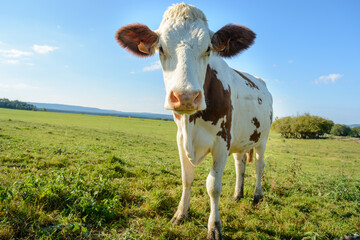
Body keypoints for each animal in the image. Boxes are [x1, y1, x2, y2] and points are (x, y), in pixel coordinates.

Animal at [115, 2, 272, 239]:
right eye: (161, 48)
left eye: (208, 48)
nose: (186, 96)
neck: (192, 123)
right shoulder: (181, 139)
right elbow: (186, 177)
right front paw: (180, 214)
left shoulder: (222, 141)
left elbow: (213, 185)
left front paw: (214, 226)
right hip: (241, 139)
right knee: (240, 164)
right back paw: (238, 194)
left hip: (262, 139)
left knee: (259, 166)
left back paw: (257, 196)